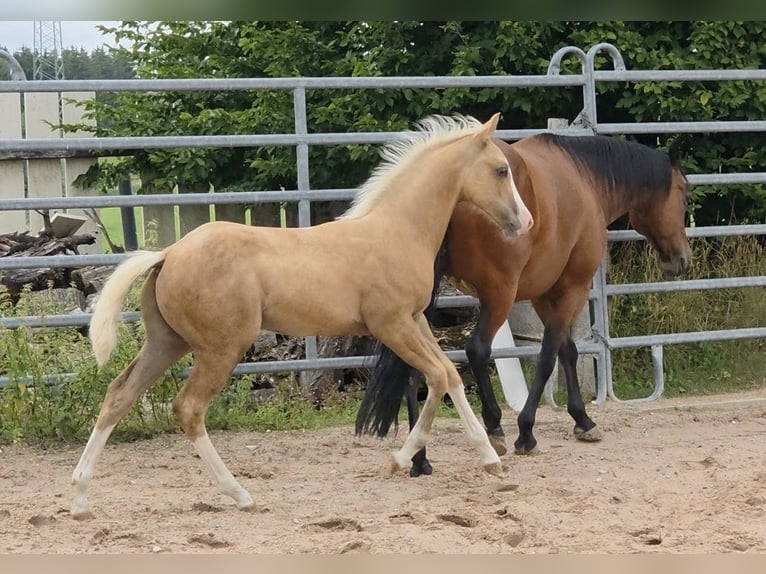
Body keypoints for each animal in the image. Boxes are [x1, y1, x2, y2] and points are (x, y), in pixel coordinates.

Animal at [69, 113, 534, 519]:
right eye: (500, 170)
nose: (526, 222)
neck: (397, 231)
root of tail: (168, 254)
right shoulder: (391, 324)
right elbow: (437, 376)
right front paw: (399, 460)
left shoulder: (415, 319)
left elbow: (450, 376)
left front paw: (490, 459)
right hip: (221, 349)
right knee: (188, 408)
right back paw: (240, 494)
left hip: (167, 342)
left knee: (119, 395)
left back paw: (79, 498)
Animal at [356, 132, 692, 477]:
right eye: (686, 197)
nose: (681, 259)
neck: (586, 179)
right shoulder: (573, 288)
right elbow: (547, 357)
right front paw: (527, 432)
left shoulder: (545, 294)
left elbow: (567, 350)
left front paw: (582, 419)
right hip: (499, 296)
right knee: (477, 351)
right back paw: (493, 428)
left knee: (415, 369)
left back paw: (420, 458)